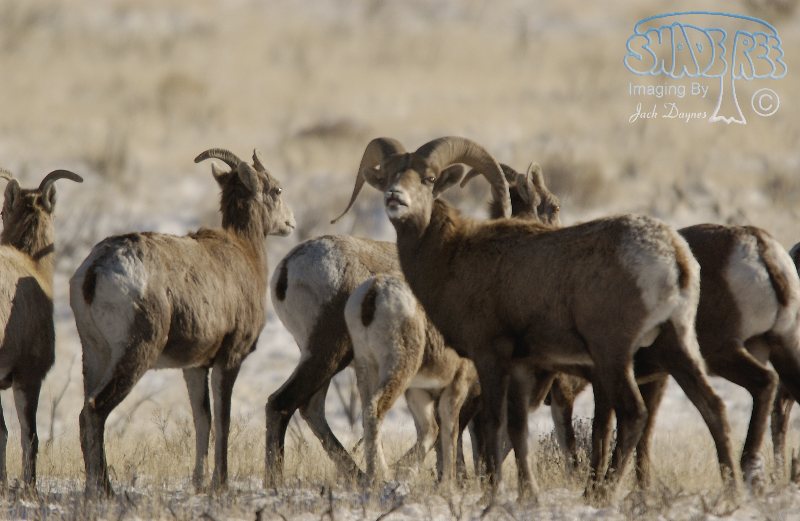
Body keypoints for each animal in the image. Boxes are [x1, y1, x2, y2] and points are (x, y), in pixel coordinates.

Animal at [70, 148, 295, 497]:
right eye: (277, 190)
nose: (290, 223)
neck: (244, 254)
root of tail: (95, 270)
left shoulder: (195, 367)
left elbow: (202, 420)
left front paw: (199, 484)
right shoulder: (229, 360)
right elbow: (223, 419)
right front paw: (220, 483)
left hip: (94, 355)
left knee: (84, 412)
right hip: (134, 355)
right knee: (95, 410)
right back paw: (105, 490)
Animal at [264, 161, 560, 487]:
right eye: (554, 206)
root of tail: (287, 269)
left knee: (311, 408)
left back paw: (358, 475)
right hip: (329, 354)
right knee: (282, 404)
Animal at [333, 136, 738, 503]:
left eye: (429, 178)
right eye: (389, 176)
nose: (395, 198)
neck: (453, 256)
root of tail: (673, 255)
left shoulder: (490, 358)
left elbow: (492, 426)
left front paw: (491, 495)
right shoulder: (523, 368)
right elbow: (517, 430)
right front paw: (528, 495)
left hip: (614, 354)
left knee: (633, 414)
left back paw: (602, 495)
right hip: (675, 346)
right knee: (713, 408)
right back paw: (734, 492)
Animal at [546, 225, 800, 492]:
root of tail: (758, 246)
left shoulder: (605, 379)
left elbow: (601, 432)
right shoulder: (654, 379)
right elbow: (645, 435)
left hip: (722, 354)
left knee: (764, 382)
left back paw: (747, 466)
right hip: (782, 348)